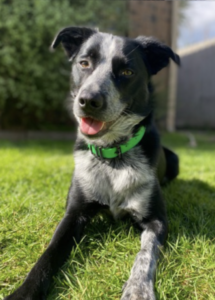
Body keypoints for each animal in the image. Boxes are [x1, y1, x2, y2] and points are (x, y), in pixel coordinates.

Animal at [4, 27, 180, 298]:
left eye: (127, 72)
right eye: (84, 63)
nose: (88, 100)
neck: (113, 157)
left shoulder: (157, 221)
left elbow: (145, 253)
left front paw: (138, 289)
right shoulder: (73, 214)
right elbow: (48, 255)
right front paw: (24, 291)